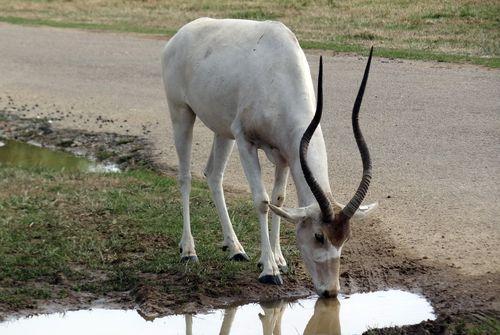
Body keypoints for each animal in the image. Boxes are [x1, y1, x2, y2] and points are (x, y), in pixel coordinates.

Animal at [160, 17, 376, 296]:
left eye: (345, 238)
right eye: (319, 236)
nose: (330, 291)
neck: (280, 71)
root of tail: (181, 33)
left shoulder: (286, 153)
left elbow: (279, 200)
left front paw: (278, 259)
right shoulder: (246, 141)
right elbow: (262, 201)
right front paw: (270, 270)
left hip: (223, 130)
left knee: (213, 175)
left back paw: (235, 249)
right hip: (182, 113)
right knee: (185, 176)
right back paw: (188, 250)